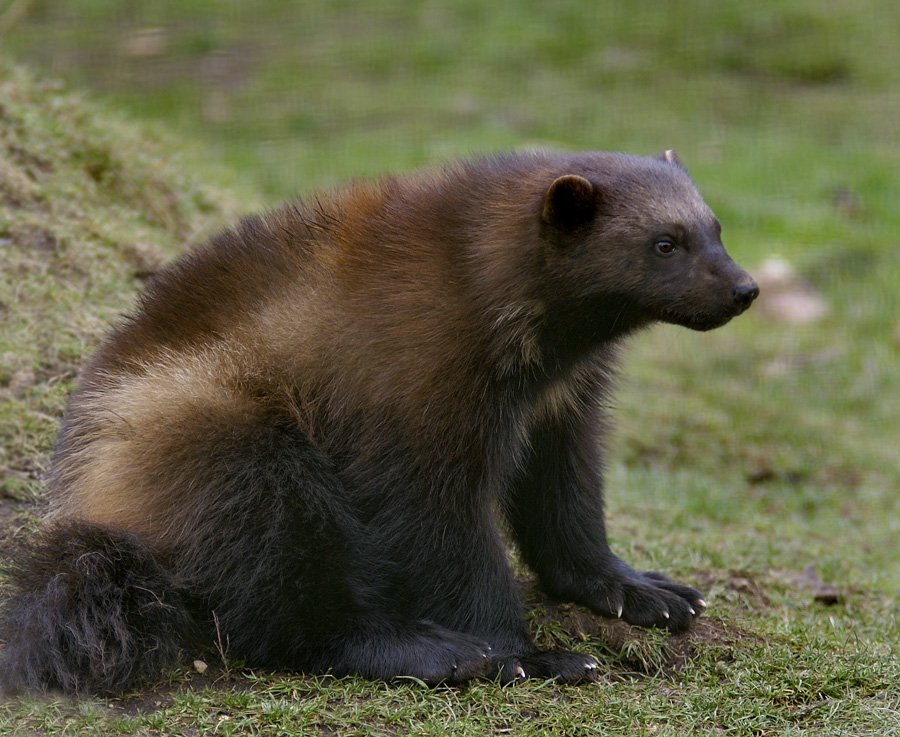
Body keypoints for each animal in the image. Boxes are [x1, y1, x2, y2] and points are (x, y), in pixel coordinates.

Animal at [0, 149, 758, 695]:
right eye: (665, 242)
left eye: (716, 227)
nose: (745, 288)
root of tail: (90, 498)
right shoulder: (418, 412)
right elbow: (448, 545)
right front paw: (525, 656)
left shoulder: (560, 411)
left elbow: (566, 509)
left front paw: (638, 590)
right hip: (247, 454)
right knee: (288, 599)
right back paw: (422, 650)